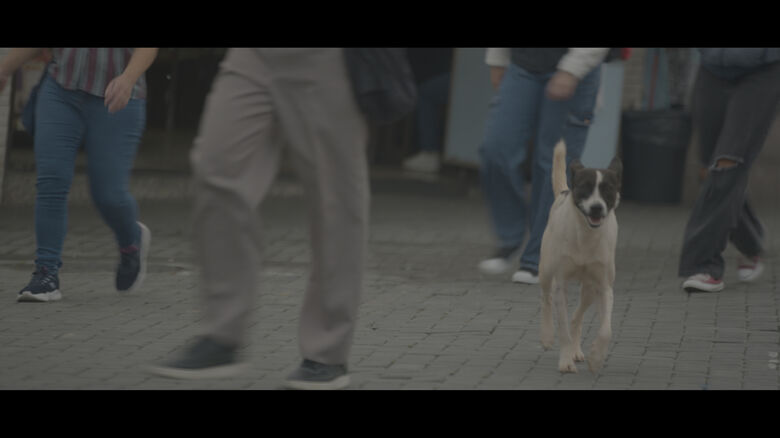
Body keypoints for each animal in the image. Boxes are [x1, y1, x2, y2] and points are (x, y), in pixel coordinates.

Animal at [536, 140, 620, 372]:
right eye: (585, 187)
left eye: (608, 190)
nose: (597, 207)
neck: (586, 236)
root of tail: (565, 191)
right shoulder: (561, 285)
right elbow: (563, 329)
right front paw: (565, 360)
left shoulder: (604, 286)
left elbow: (606, 330)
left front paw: (596, 357)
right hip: (546, 270)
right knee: (546, 299)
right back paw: (547, 335)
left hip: (589, 289)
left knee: (577, 317)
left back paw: (576, 350)